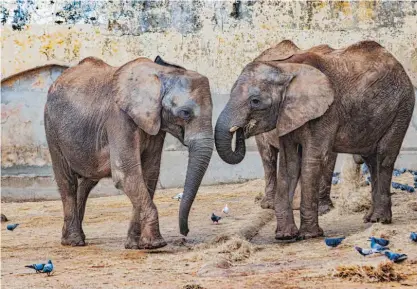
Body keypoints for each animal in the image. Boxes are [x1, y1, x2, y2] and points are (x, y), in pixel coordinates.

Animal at [44, 55, 214, 248]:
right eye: (185, 112)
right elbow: (126, 173)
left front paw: (136, 245)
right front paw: (155, 244)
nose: (184, 233)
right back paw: (73, 241)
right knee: (67, 180)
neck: (161, 73)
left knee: (88, 181)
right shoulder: (119, 118)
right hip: (52, 128)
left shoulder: (154, 124)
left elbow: (149, 174)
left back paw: (76, 237)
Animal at [216, 39, 414, 240]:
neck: (286, 68)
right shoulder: (286, 115)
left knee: (383, 157)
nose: (242, 130)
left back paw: (379, 220)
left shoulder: (326, 112)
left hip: (402, 107)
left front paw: (310, 235)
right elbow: (289, 163)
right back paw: (371, 219)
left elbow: (313, 159)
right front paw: (285, 236)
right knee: (372, 160)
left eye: (255, 101)